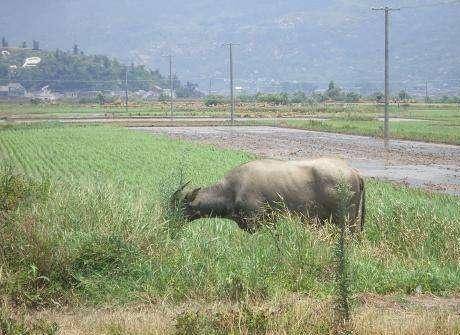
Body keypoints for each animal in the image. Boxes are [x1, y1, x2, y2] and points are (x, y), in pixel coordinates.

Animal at [171, 158, 364, 234]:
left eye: (179, 206)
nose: (168, 223)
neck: (232, 190)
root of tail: (353, 171)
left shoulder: (257, 223)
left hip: (346, 222)